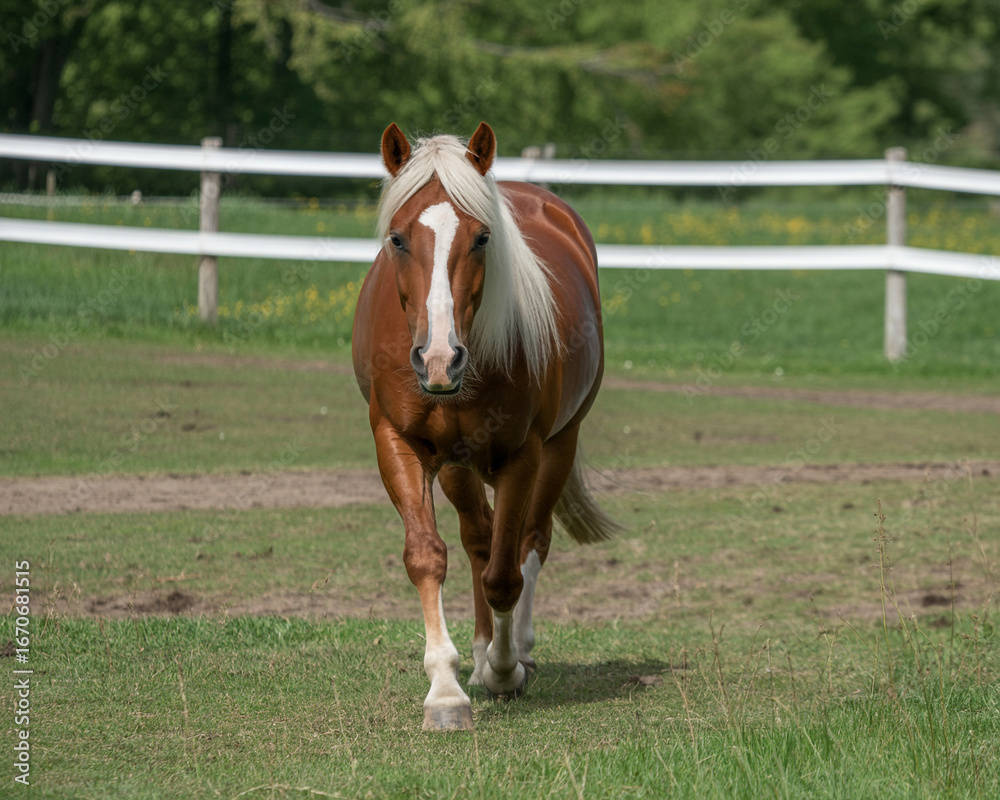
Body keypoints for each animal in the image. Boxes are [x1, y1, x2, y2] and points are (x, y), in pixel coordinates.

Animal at [352, 122, 618, 731]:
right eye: (397, 239)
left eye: (481, 238)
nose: (438, 359)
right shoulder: (398, 443)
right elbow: (429, 556)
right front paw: (446, 690)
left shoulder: (524, 454)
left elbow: (505, 573)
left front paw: (503, 670)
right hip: (458, 465)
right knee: (479, 539)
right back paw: (477, 655)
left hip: (558, 447)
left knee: (528, 542)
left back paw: (516, 652)